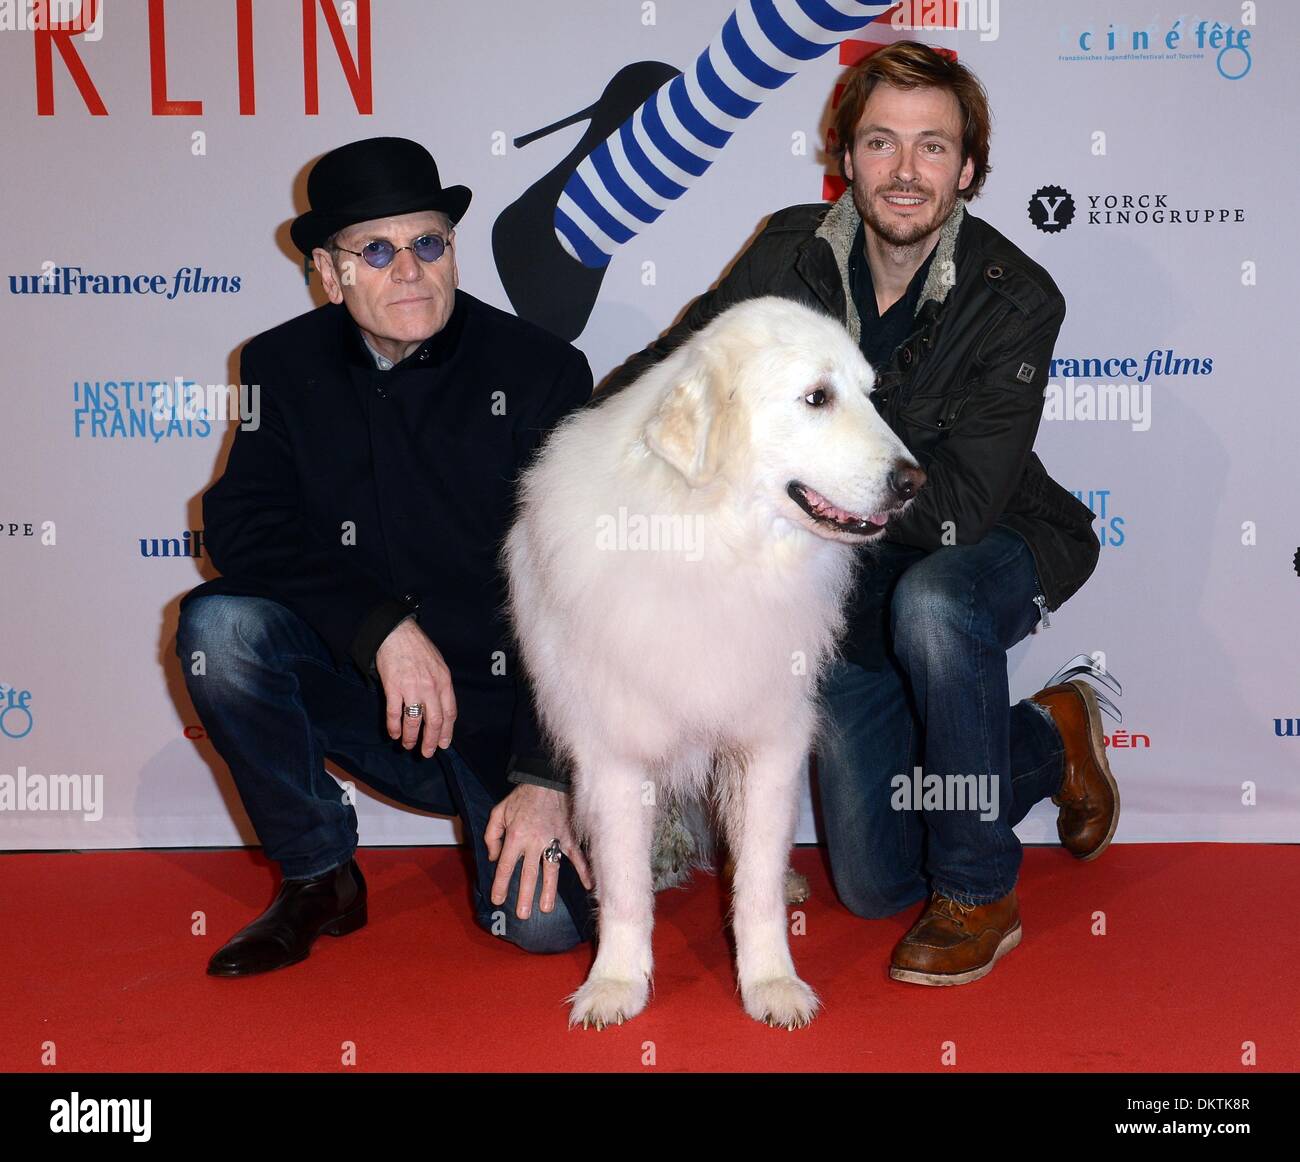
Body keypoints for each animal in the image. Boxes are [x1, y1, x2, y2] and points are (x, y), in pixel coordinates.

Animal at [501, 297, 920, 1029]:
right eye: (817, 398)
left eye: (873, 396)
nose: (913, 480)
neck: (713, 542)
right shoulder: (616, 755)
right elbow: (625, 891)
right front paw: (615, 983)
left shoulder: (768, 742)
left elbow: (754, 884)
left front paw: (770, 982)